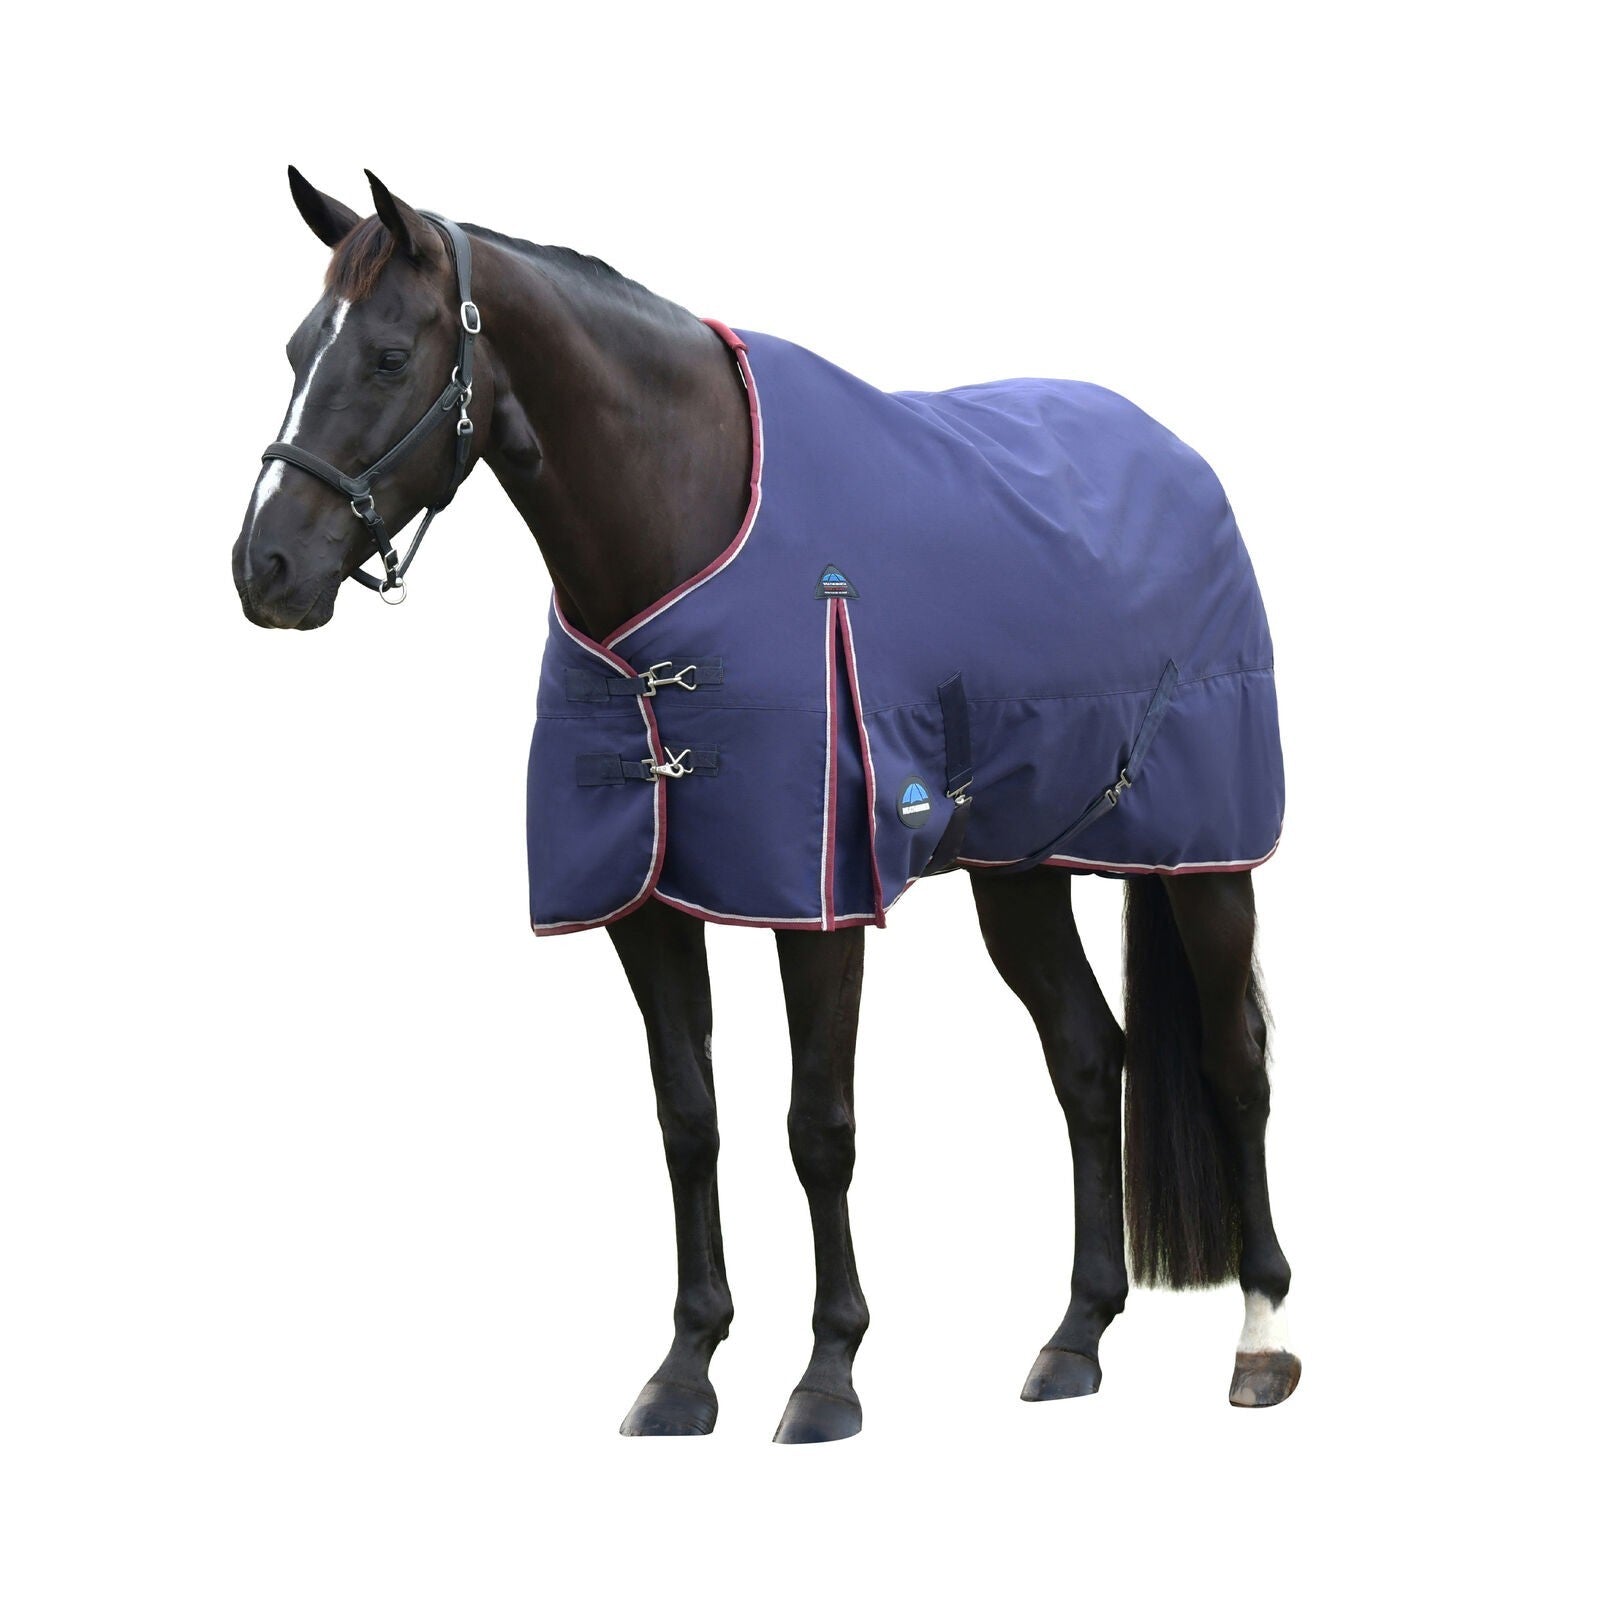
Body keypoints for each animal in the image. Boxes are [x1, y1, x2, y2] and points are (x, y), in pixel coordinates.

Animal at [233, 168, 1300, 1442]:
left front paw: (827, 1372)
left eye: (390, 355)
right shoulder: (644, 904)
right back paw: (1073, 1337)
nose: (263, 570)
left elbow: (817, 1127)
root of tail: (1177, 457)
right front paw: (685, 1368)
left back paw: (1261, 1338)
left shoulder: (818, 901)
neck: (683, 533)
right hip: (1020, 870)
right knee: (1089, 1059)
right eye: (298, 347)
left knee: (1235, 1064)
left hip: (1207, 861)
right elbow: (687, 1120)